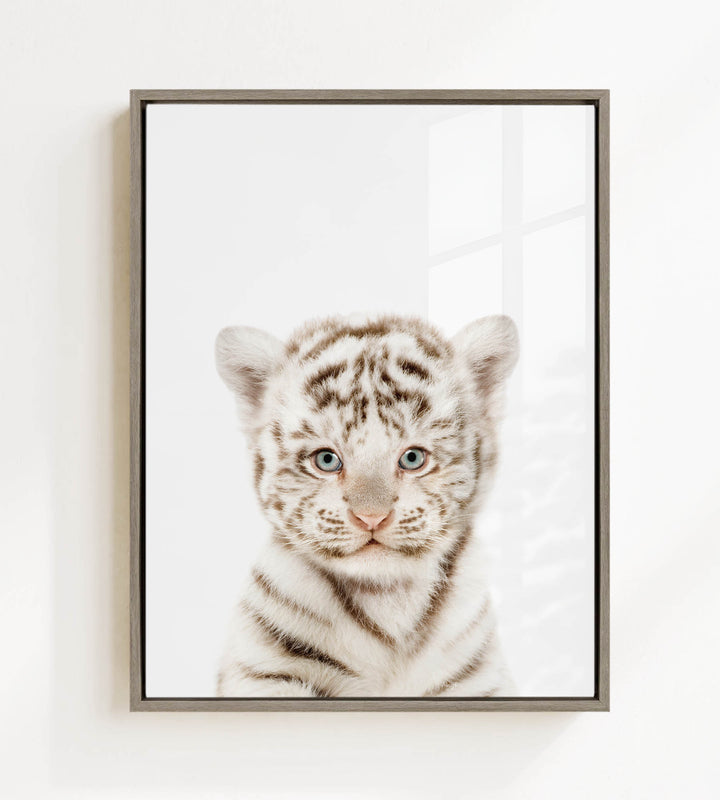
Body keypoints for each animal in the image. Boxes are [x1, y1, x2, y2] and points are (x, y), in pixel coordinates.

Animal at [214, 313, 518, 698]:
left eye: (413, 458)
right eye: (326, 460)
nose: (371, 517)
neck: (388, 600)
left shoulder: (478, 680)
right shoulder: (266, 671)